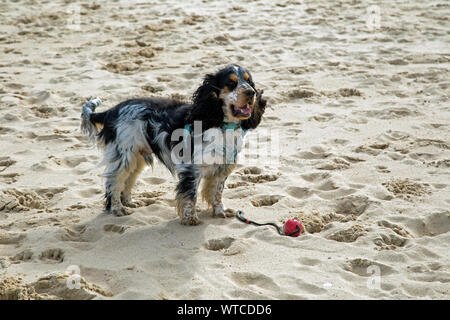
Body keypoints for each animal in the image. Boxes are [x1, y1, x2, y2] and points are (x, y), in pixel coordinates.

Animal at [80, 65, 266, 225]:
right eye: (231, 83)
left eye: (250, 82)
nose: (251, 92)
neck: (221, 124)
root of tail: (111, 111)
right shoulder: (191, 168)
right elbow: (191, 194)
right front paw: (190, 219)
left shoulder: (223, 166)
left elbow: (217, 192)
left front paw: (220, 211)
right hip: (125, 156)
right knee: (114, 182)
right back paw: (118, 208)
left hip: (137, 158)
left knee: (128, 180)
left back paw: (129, 202)